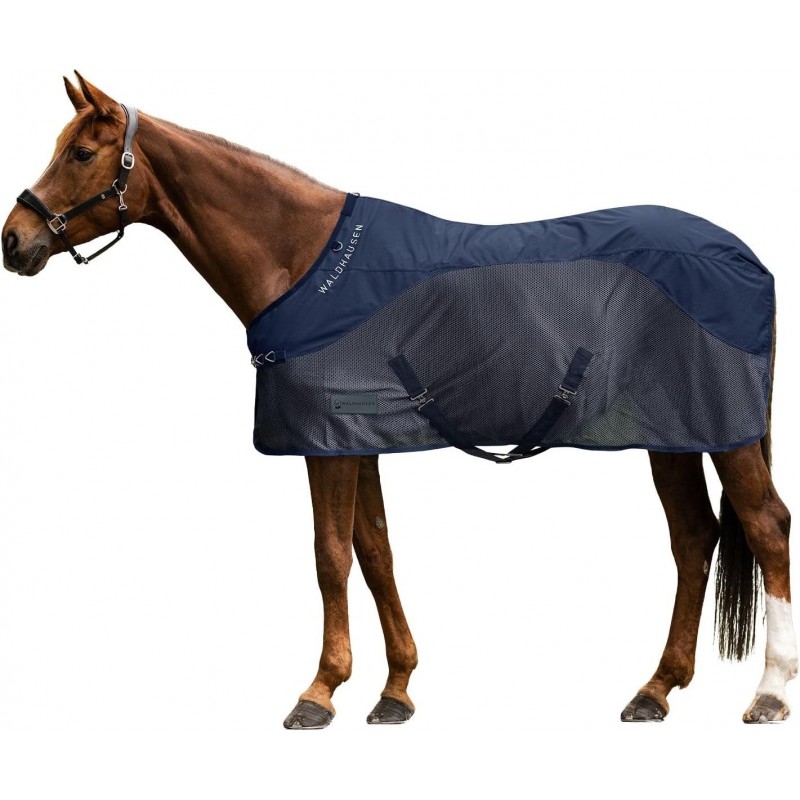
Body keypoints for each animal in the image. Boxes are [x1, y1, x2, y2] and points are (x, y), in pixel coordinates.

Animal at [2, 74, 797, 728]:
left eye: (81, 153)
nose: (14, 240)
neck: (303, 261)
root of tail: (744, 256)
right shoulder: (357, 440)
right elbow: (376, 550)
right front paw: (394, 690)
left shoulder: (325, 443)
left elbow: (329, 556)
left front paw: (319, 693)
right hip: (672, 434)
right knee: (694, 538)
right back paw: (655, 690)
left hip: (723, 435)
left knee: (765, 527)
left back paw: (769, 694)